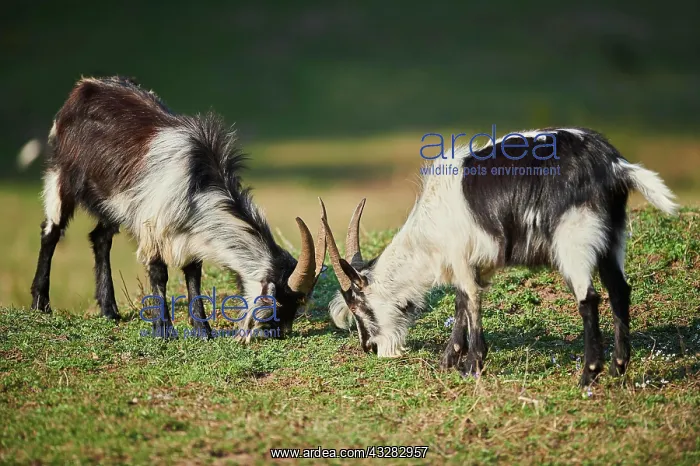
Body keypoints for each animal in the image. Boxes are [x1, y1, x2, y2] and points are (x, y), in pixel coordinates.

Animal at [29, 76, 326, 339]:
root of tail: (84, 87)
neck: (198, 181)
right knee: (51, 230)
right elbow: (159, 273)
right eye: (278, 301)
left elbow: (193, 275)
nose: (279, 334)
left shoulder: (190, 233)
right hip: (62, 174)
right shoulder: (153, 225)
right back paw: (40, 303)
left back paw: (109, 309)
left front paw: (204, 331)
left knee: (100, 238)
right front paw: (163, 330)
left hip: (112, 201)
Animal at [322, 128, 678, 386]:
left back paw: (589, 374)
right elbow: (461, 303)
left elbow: (471, 301)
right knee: (619, 291)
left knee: (588, 298)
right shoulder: (476, 263)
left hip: (575, 238)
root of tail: (613, 165)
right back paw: (619, 367)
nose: (369, 347)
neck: (429, 229)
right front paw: (449, 360)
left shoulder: (461, 257)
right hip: (612, 237)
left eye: (359, 306)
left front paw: (471, 365)